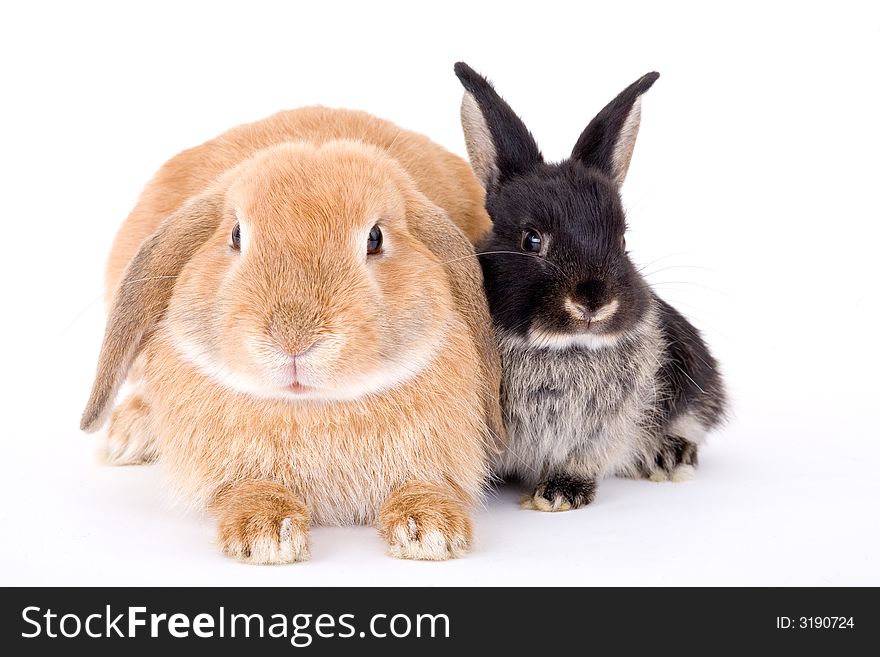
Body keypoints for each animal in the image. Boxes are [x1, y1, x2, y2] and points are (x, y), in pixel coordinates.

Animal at [81, 105, 502, 560]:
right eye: (236, 235)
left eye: (375, 238)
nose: (293, 340)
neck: (314, 406)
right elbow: (245, 490)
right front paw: (264, 533)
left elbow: (426, 485)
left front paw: (432, 530)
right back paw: (129, 435)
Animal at [458, 61, 724, 510]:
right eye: (531, 240)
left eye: (622, 241)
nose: (594, 301)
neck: (564, 350)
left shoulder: (606, 429)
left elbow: (585, 458)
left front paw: (560, 494)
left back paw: (669, 459)